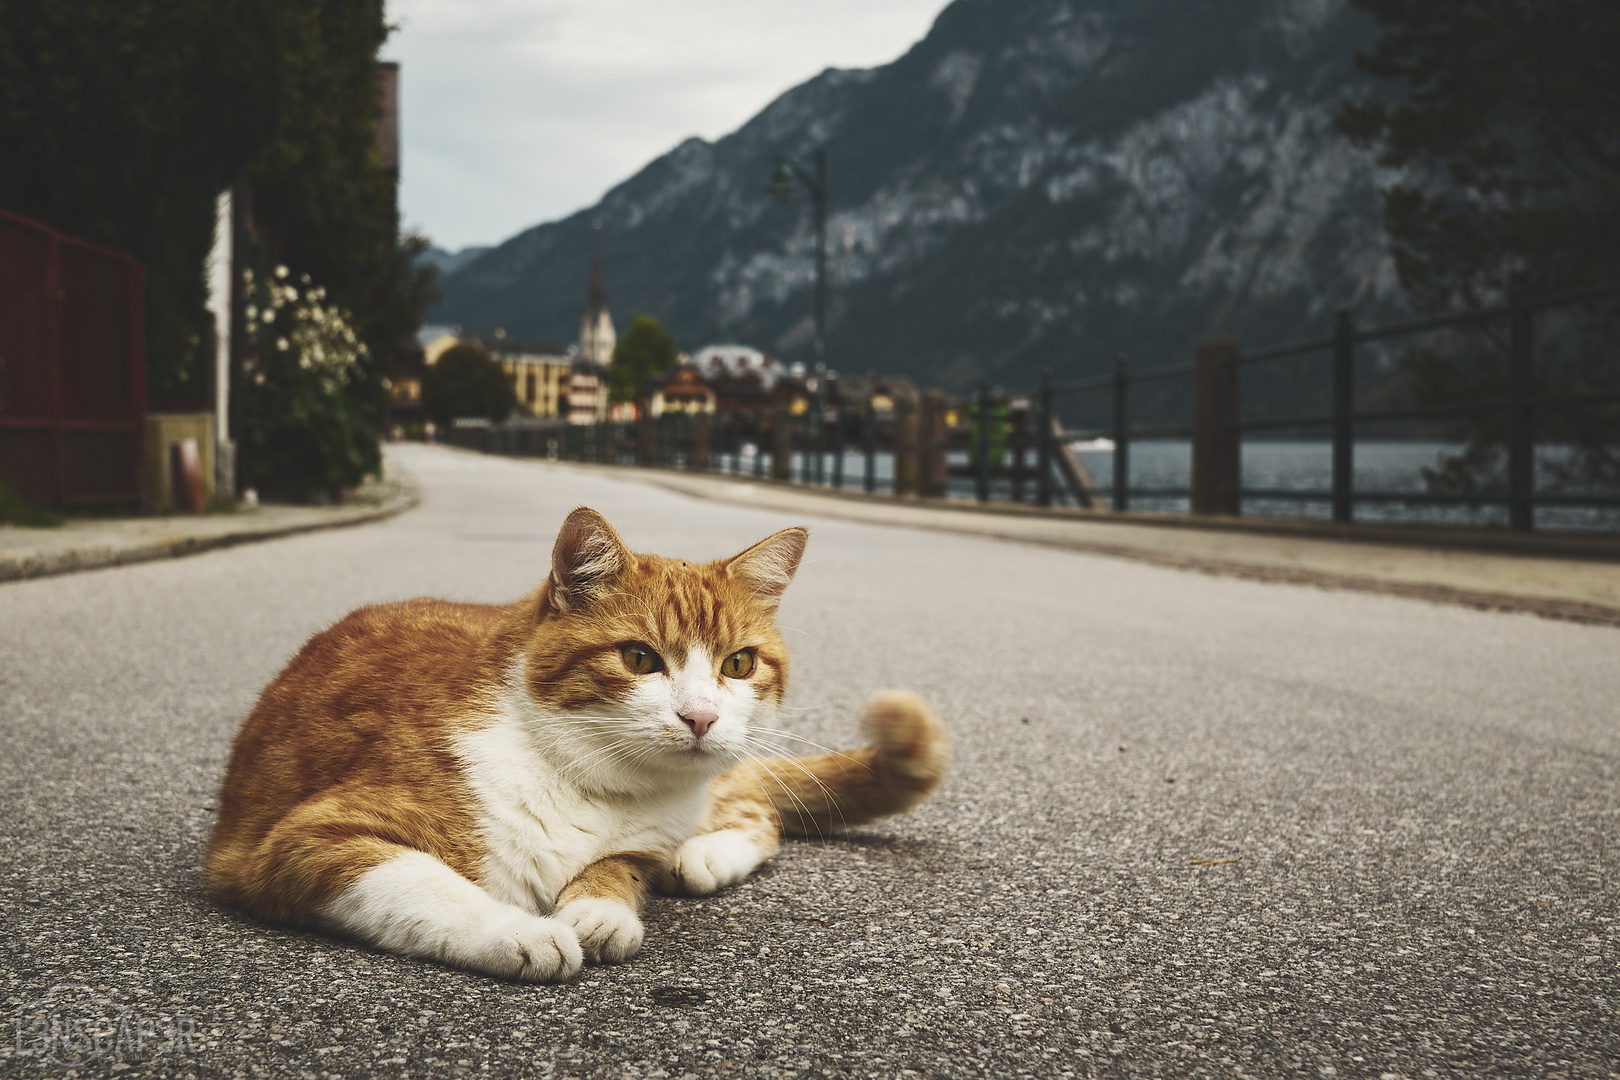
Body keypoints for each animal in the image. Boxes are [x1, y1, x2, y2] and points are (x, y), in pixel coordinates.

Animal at [210, 508, 952, 977]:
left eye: (738, 664)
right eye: (640, 658)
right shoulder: (304, 842)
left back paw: (702, 856)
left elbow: (622, 866)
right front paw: (523, 931)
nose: (700, 718)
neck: (590, 782)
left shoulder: (640, 841)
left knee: (758, 813)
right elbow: (429, 884)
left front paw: (598, 908)